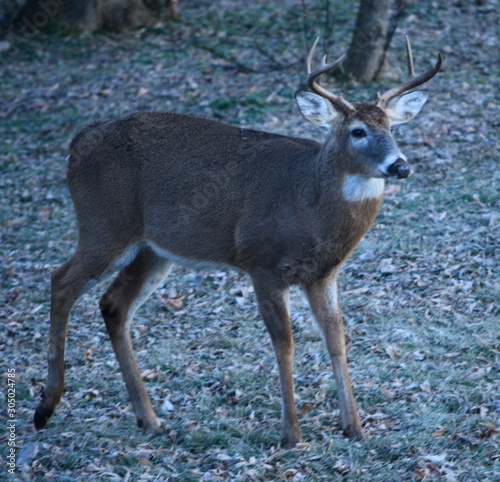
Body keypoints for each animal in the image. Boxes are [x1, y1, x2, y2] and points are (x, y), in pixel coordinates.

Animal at [35, 37, 442, 448]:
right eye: (358, 131)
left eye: (392, 126)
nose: (400, 165)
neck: (308, 204)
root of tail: (79, 141)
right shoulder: (262, 262)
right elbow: (285, 342)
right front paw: (291, 433)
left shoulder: (323, 273)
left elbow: (336, 337)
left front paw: (354, 427)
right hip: (104, 223)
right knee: (61, 280)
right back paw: (46, 407)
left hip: (152, 249)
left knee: (113, 304)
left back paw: (148, 419)